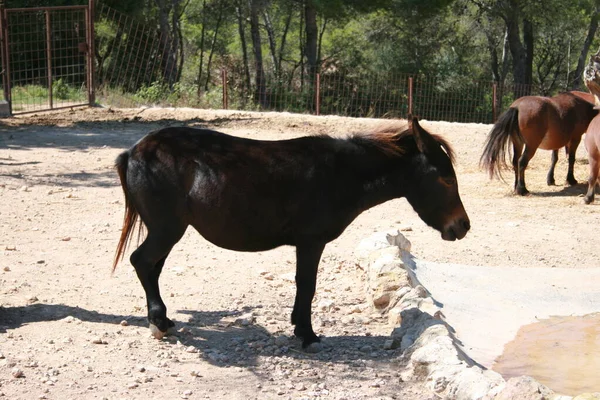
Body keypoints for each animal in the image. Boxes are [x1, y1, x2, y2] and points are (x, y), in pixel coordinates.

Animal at [111, 115, 468, 350]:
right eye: (446, 179)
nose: (463, 226)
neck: (342, 174)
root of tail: (134, 151)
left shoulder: (306, 243)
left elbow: (304, 286)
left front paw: (300, 329)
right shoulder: (311, 242)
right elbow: (307, 285)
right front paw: (307, 335)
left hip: (167, 230)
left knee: (152, 268)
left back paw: (162, 320)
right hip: (167, 228)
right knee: (142, 262)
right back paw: (159, 323)